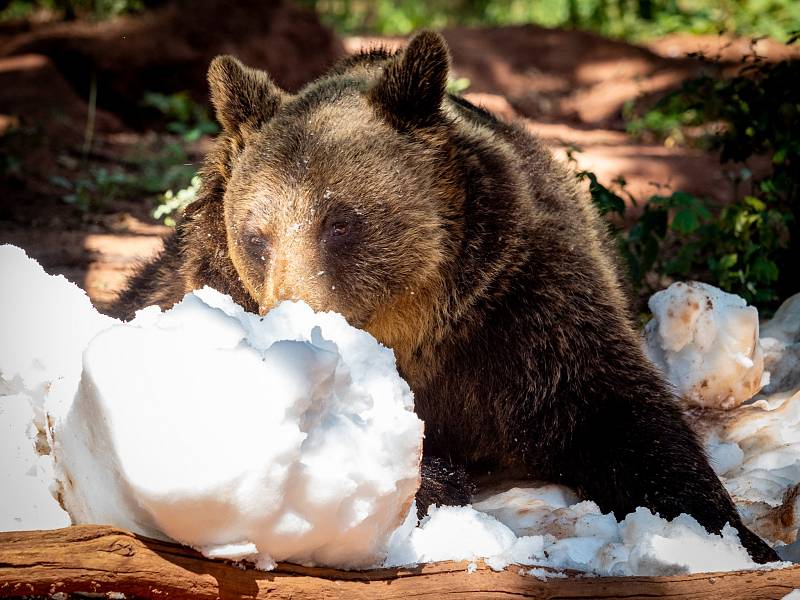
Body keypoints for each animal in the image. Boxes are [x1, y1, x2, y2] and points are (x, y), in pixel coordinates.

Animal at [109, 29, 780, 564]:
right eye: (256, 235)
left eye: (340, 222)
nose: (295, 318)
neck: (411, 329)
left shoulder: (522, 309)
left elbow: (621, 413)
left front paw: (734, 537)